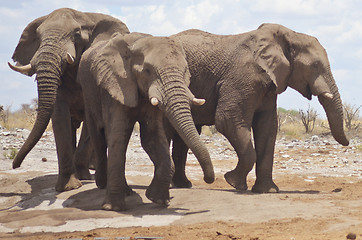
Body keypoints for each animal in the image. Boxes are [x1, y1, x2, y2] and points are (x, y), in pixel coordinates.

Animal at [7, 7, 130, 191]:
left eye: (76, 35)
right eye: (38, 37)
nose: (15, 165)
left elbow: (89, 120)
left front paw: (83, 178)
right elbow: (59, 117)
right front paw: (69, 187)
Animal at [77, 32, 215, 211]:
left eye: (185, 70)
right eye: (148, 70)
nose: (208, 179)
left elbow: (152, 136)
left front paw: (158, 200)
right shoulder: (115, 85)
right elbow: (117, 135)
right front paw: (113, 208)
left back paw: (127, 191)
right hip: (88, 93)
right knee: (99, 137)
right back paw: (102, 184)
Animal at [168, 23, 350, 193]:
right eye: (315, 65)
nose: (348, 142)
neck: (288, 36)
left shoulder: (270, 85)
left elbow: (267, 127)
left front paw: (266, 191)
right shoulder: (242, 77)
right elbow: (227, 120)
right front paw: (233, 182)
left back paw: (183, 185)